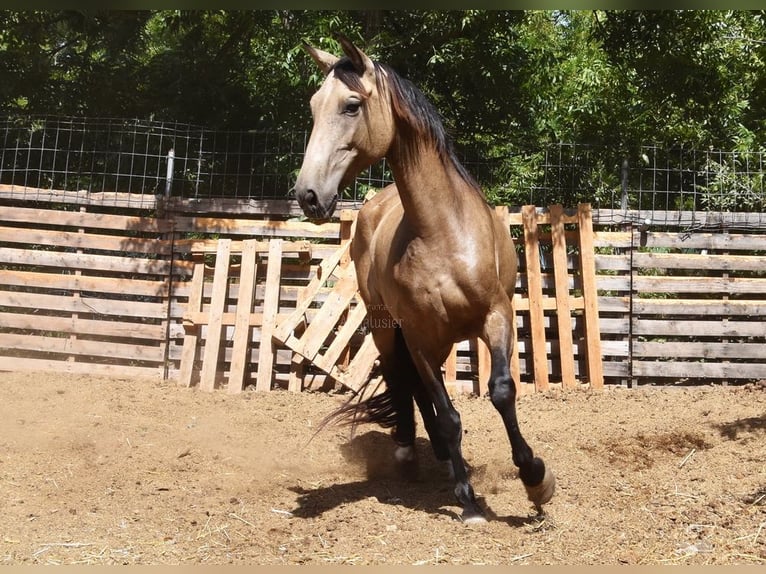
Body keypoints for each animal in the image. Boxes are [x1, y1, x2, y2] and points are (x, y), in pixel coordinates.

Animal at [296, 33, 560, 524]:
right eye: (313, 106)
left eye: (351, 105)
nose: (308, 195)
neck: (442, 232)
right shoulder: (416, 335)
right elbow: (447, 411)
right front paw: (469, 501)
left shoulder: (496, 316)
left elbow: (501, 391)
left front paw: (536, 479)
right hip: (389, 328)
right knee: (406, 384)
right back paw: (412, 453)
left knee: (421, 391)